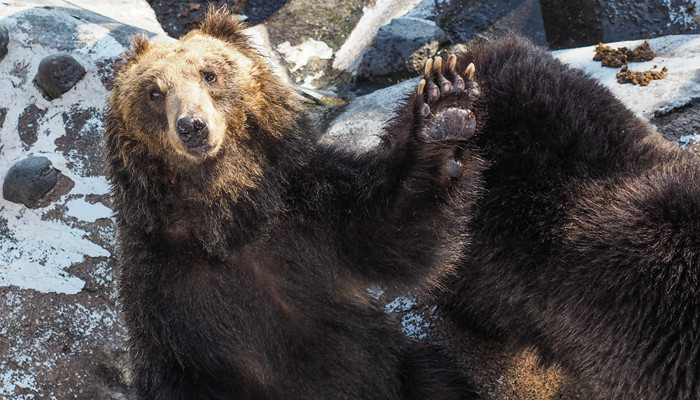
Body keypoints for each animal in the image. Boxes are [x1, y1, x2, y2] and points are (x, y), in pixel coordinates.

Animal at [105, 9, 486, 400]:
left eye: (209, 74)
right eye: (154, 91)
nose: (192, 126)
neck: (230, 216)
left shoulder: (312, 205)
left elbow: (391, 230)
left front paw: (445, 105)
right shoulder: (162, 287)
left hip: (404, 368)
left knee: (435, 378)